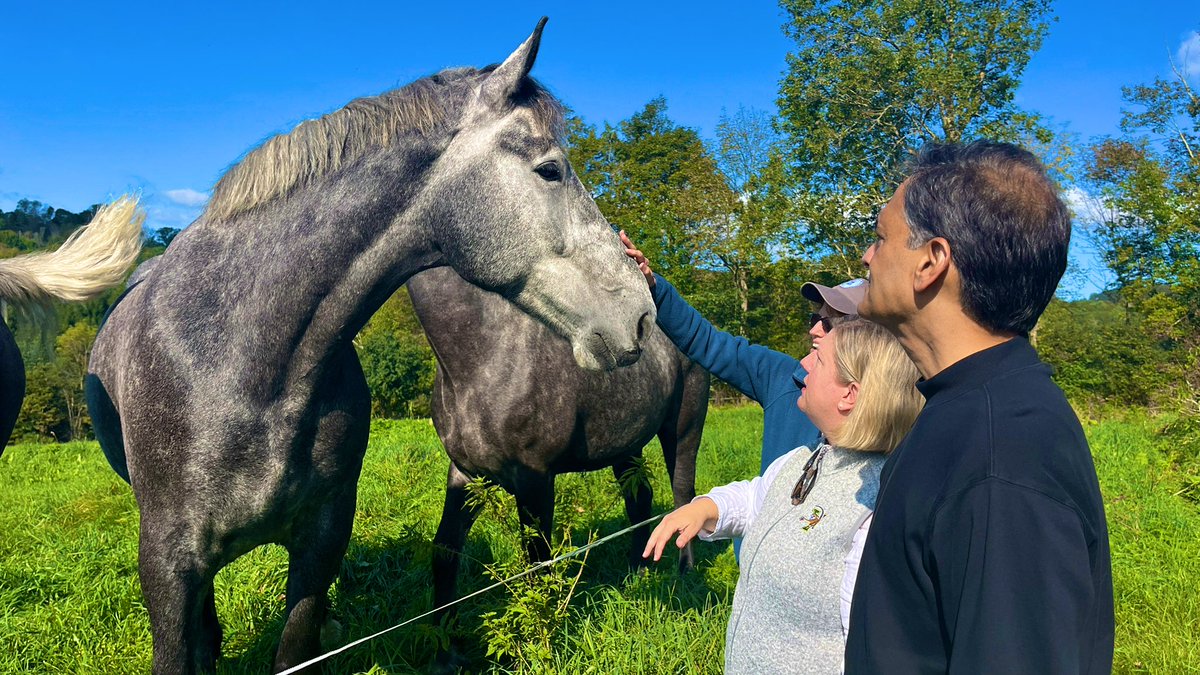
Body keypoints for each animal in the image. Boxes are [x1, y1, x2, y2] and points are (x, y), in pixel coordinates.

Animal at [85, 19, 656, 674]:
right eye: (550, 170)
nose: (642, 313)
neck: (236, 363)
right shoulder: (168, 565)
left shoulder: (321, 543)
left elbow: (296, 646)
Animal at [406, 266, 708, 627]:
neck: (485, 352)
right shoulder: (467, 475)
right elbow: (445, 552)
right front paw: (445, 638)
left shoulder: (534, 480)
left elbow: (537, 566)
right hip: (626, 449)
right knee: (640, 500)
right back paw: (635, 571)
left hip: (683, 432)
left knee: (683, 495)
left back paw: (685, 572)